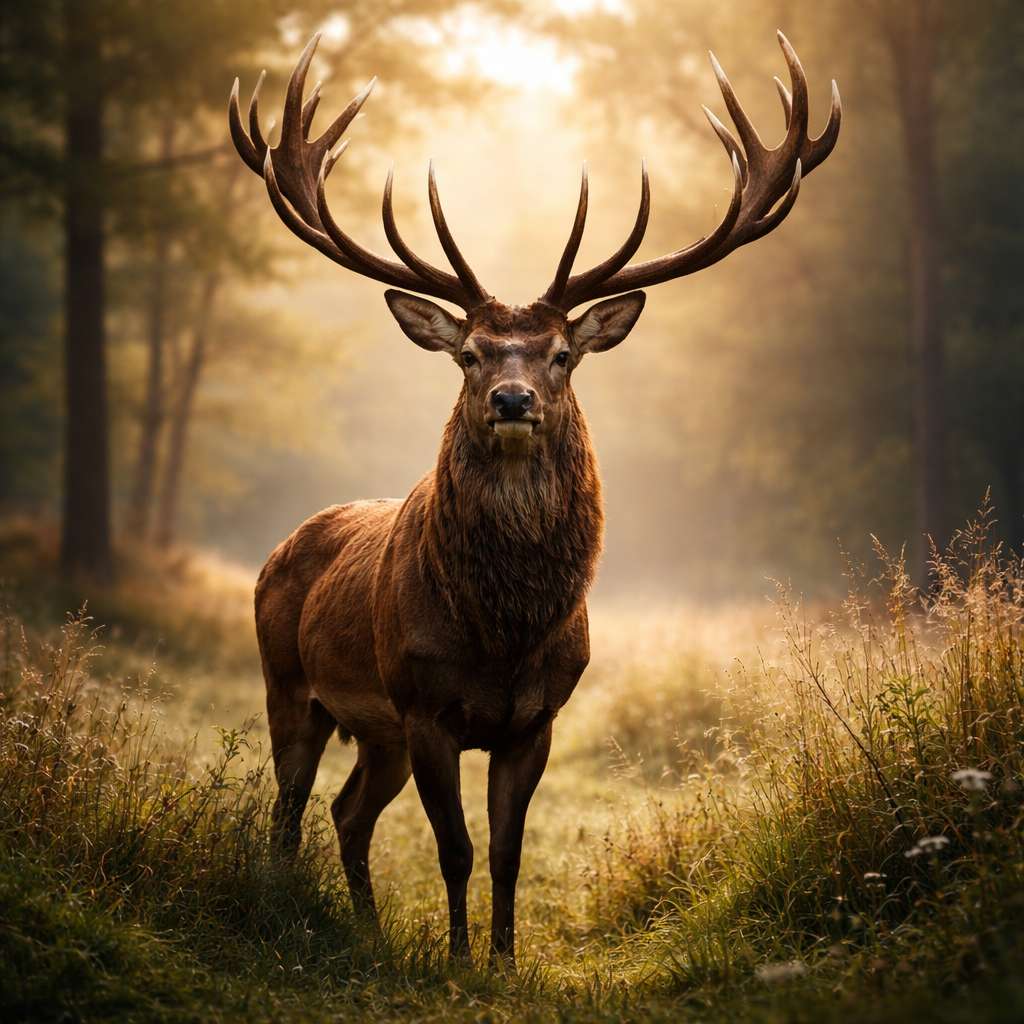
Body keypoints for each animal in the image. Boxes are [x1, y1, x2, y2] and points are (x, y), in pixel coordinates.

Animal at [229, 31, 840, 965]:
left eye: (560, 354)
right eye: (470, 353)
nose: (511, 401)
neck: (503, 631)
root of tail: (280, 547)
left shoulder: (537, 715)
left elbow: (508, 850)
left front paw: (505, 962)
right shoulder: (427, 704)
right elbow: (454, 848)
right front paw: (455, 962)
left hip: (377, 731)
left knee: (347, 811)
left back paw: (367, 931)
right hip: (290, 680)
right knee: (289, 809)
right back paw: (289, 909)